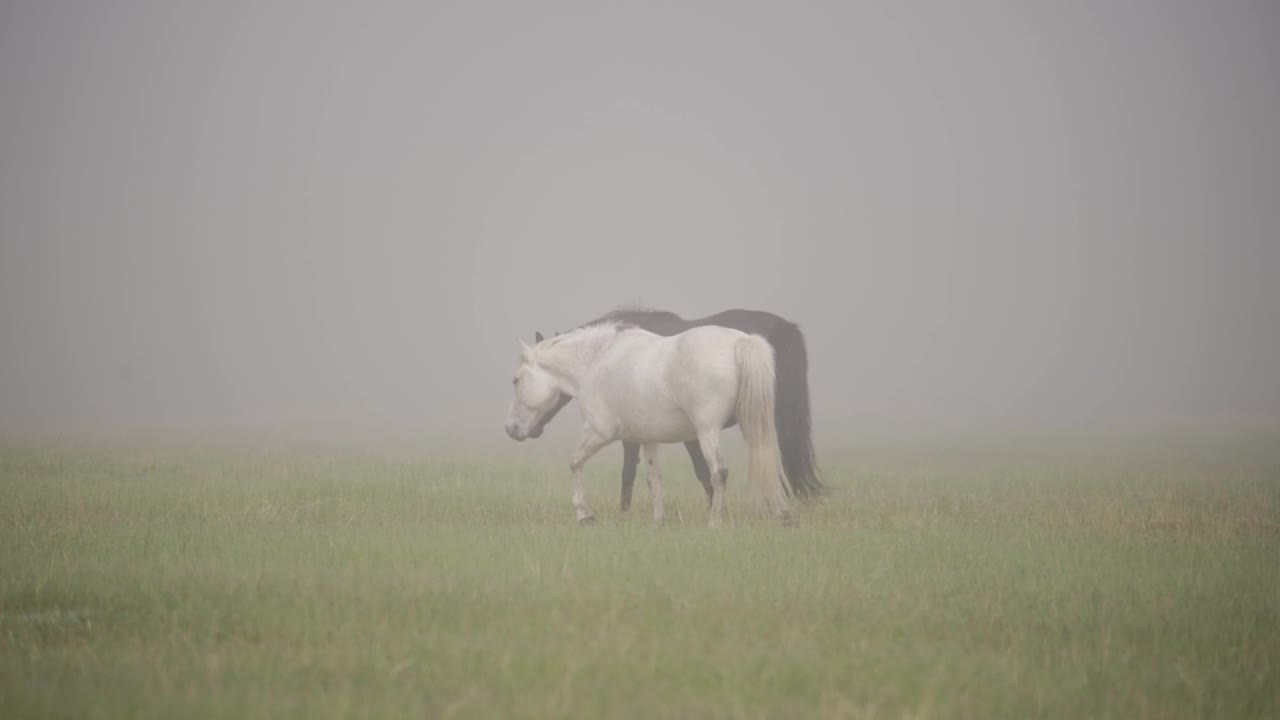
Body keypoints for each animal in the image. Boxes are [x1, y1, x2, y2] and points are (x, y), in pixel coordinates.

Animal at [501, 322, 788, 525]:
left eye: (515, 380)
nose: (510, 429)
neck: (595, 362)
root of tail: (740, 341)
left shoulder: (599, 433)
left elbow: (574, 464)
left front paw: (585, 515)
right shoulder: (648, 439)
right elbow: (654, 478)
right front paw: (659, 520)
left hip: (707, 431)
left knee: (719, 472)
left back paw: (715, 522)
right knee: (768, 462)